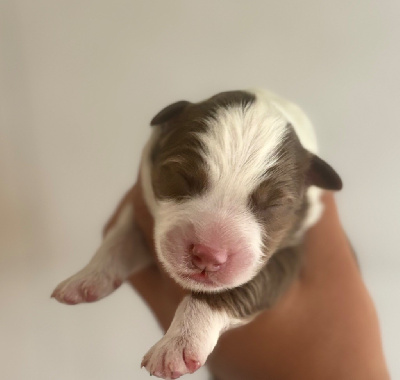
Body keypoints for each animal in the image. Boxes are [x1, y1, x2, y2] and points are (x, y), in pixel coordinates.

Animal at [51, 89, 342, 378]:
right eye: (182, 177)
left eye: (274, 205)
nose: (208, 255)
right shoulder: (140, 207)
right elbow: (120, 237)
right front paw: (87, 277)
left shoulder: (290, 252)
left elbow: (230, 290)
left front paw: (178, 343)